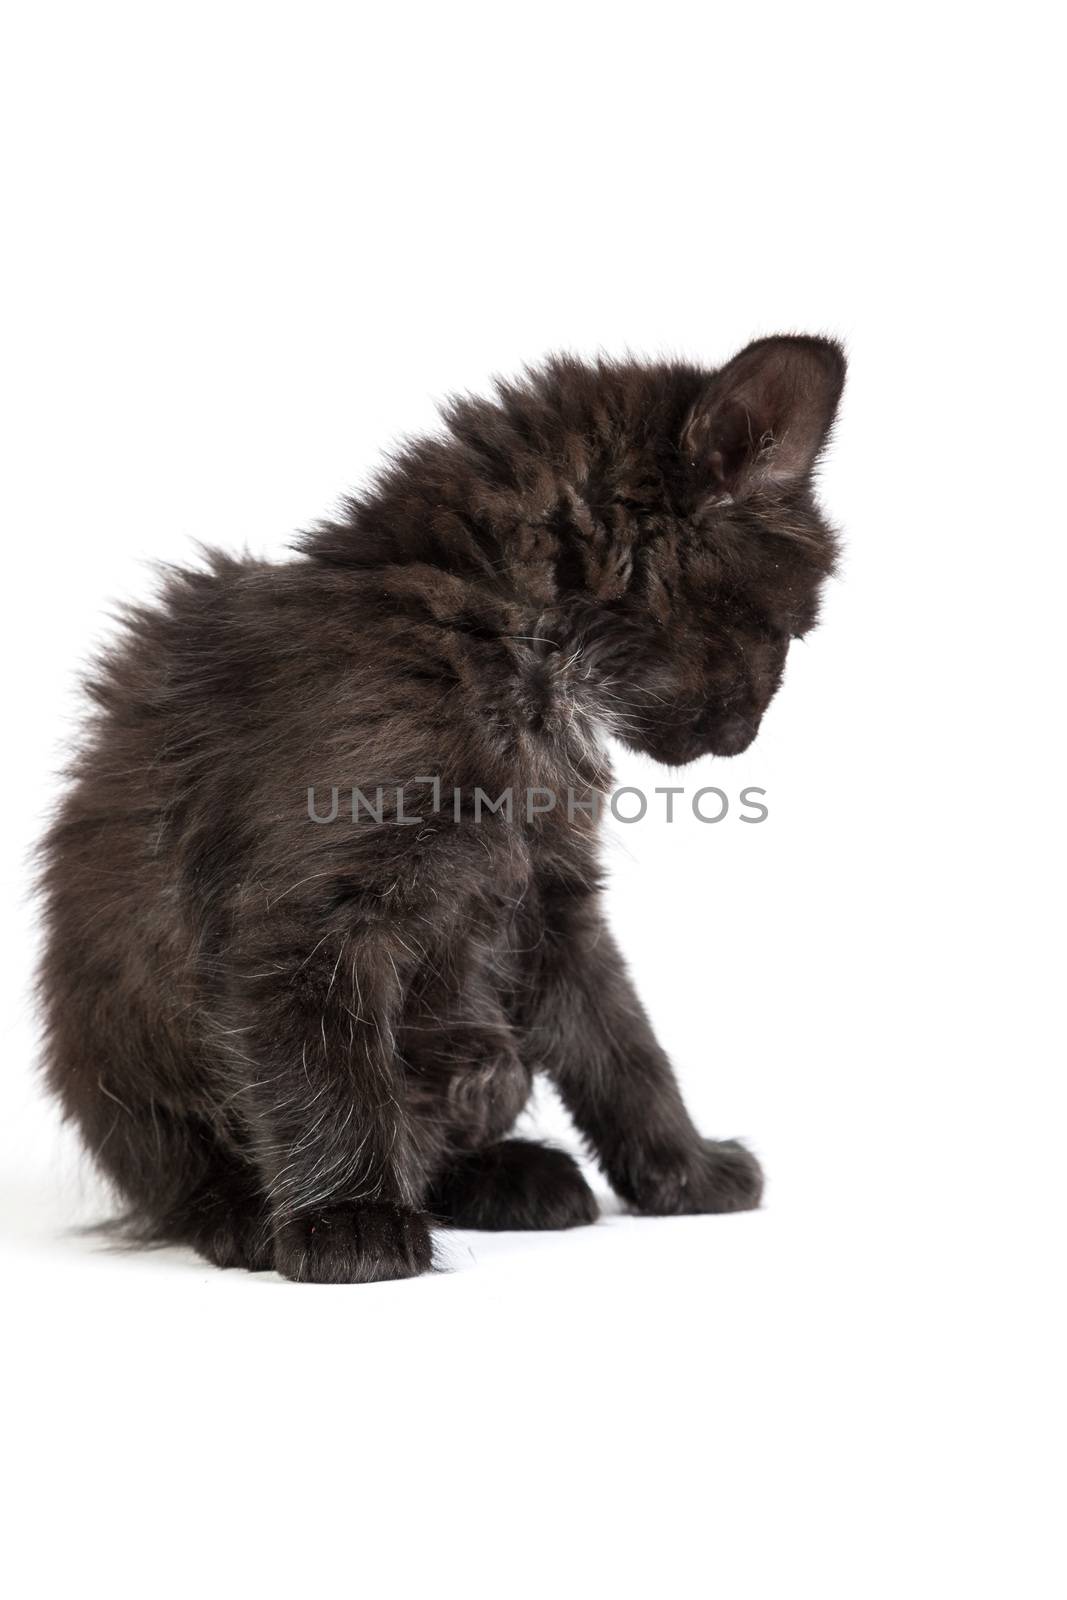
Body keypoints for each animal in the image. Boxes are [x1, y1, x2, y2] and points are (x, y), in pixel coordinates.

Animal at [37, 331, 844, 1280]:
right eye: (784, 633)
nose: (744, 736)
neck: (509, 653)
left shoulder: (550, 899)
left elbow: (623, 1046)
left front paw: (682, 1168)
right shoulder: (304, 914)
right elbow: (325, 1070)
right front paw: (348, 1223)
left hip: (487, 1054)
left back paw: (515, 1177)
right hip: (128, 1074)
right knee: (180, 1170)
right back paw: (244, 1216)